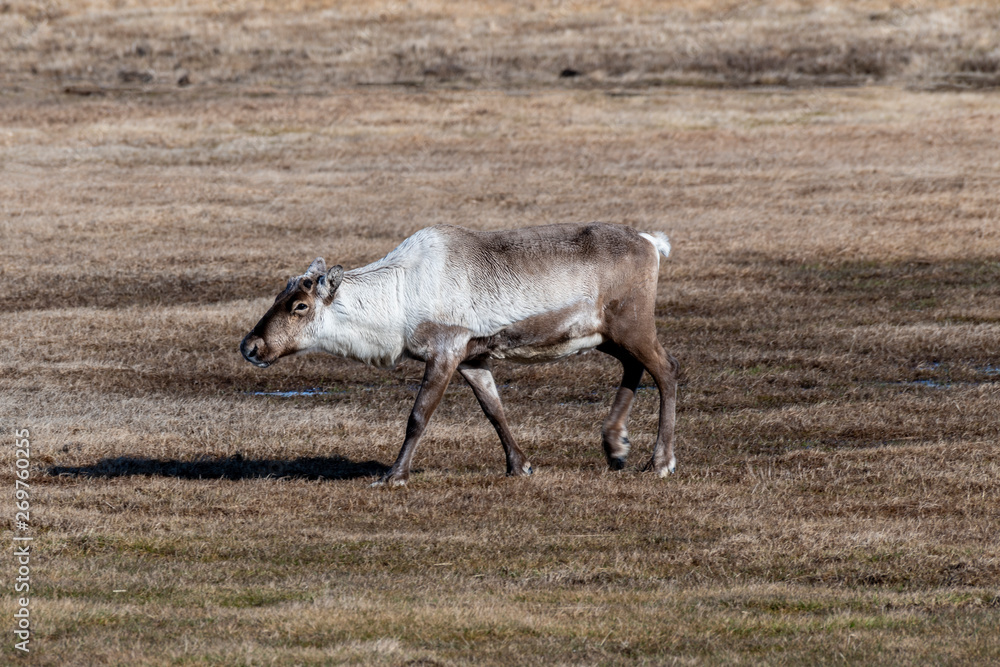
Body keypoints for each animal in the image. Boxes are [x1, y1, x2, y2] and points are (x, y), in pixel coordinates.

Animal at [240, 222, 678, 486]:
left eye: (300, 306)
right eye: (278, 296)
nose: (250, 346)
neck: (397, 302)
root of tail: (652, 243)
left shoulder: (445, 349)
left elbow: (417, 417)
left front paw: (394, 475)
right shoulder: (473, 358)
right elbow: (494, 411)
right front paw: (519, 465)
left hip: (632, 324)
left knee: (666, 370)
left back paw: (659, 461)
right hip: (608, 335)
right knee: (635, 368)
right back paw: (615, 446)